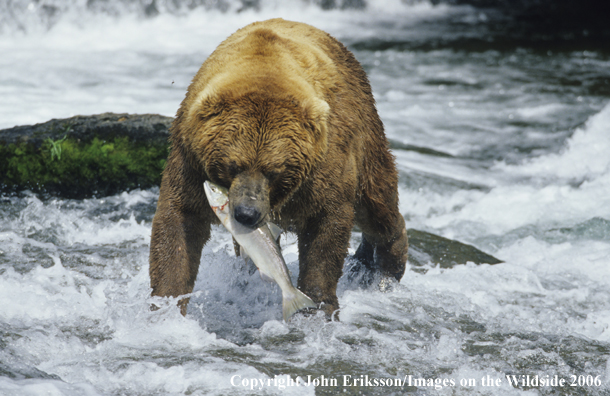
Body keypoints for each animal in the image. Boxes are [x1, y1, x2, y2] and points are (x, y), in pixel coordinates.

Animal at [148, 17, 406, 318]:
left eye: (273, 171)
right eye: (232, 165)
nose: (246, 214)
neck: (266, 66)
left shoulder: (323, 163)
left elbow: (327, 225)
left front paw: (320, 304)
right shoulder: (191, 157)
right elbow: (180, 222)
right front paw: (166, 305)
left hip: (365, 132)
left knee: (376, 204)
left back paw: (387, 268)